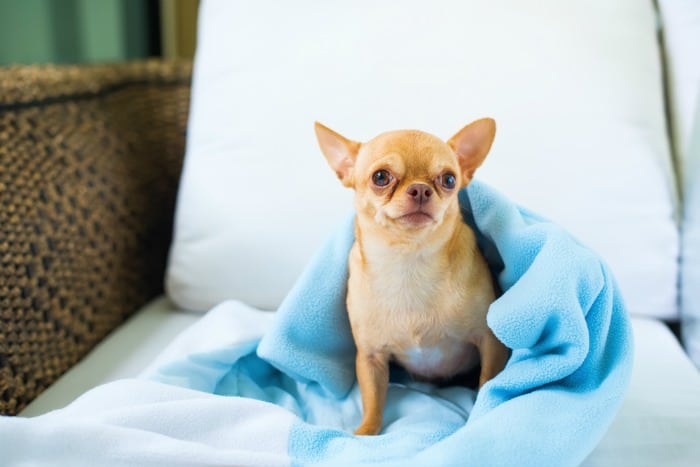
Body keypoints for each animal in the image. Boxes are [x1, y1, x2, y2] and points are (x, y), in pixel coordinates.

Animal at [316, 119, 508, 436]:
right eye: (381, 177)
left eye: (449, 180)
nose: (420, 189)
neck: (408, 262)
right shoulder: (370, 357)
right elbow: (372, 401)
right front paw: (365, 433)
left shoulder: (491, 343)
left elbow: (487, 382)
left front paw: (480, 416)